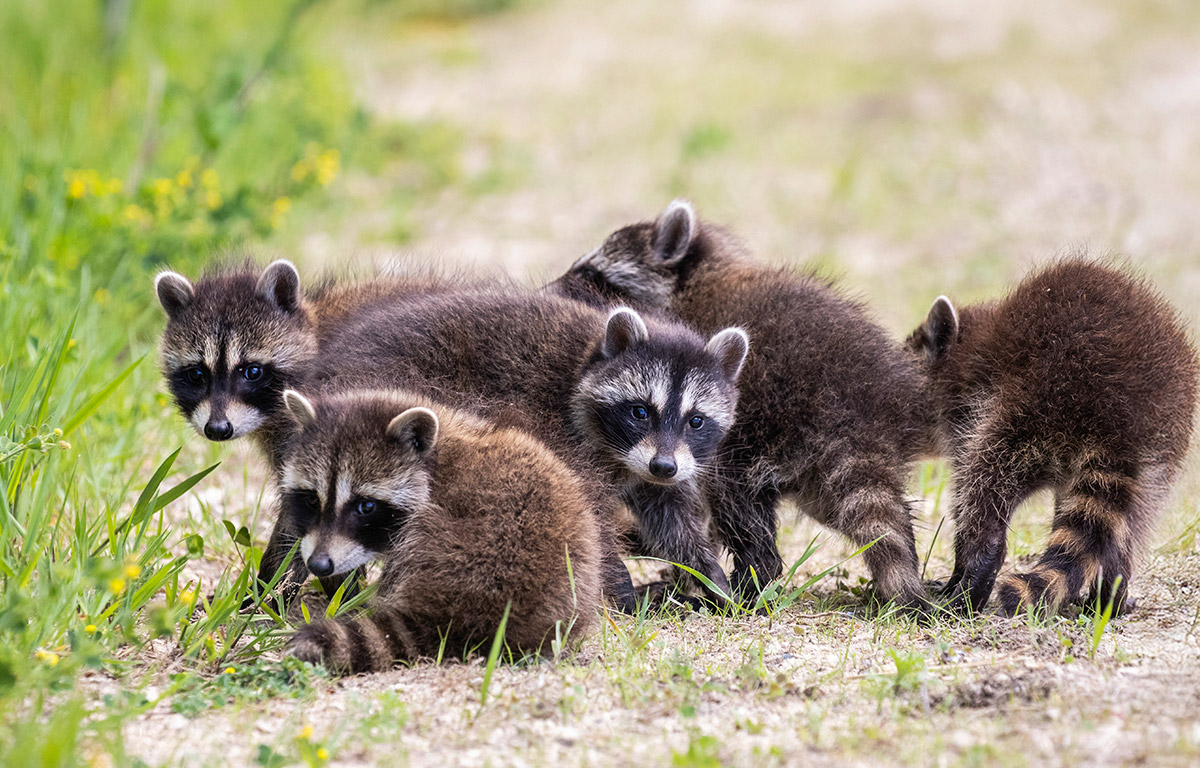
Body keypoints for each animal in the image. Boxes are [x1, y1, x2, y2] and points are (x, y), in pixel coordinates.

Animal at [307, 291, 748, 607]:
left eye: (695, 420)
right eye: (640, 411)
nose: (663, 466)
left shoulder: (659, 461)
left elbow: (671, 515)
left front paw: (710, 576)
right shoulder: (566, 438)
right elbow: (591, 518)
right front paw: (622, 591)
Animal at [548, 200, 934, 613]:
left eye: (591, 273)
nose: (544, 290)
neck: (695, 279)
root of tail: (855, 408)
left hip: (760, 426)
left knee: (734, 496)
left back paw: (750, 579)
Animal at [907, 259, 1198, 615]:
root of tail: (1120, 417)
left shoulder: (974, 414)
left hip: (1033, 408)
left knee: (984, 486)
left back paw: (970, 581)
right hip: (1161, 452)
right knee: (1125, 528)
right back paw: (1111, 594)